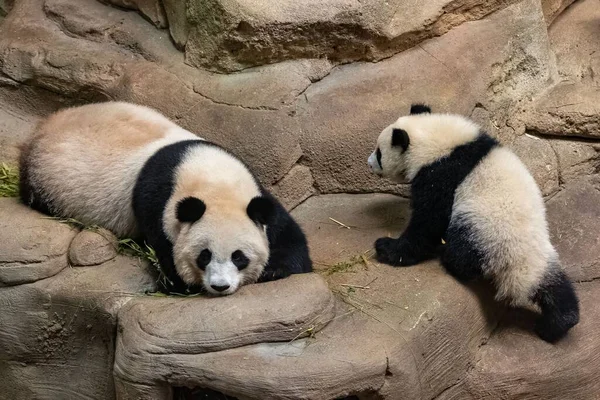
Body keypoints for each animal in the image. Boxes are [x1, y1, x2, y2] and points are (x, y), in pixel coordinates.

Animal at [19, 101, 312, 296]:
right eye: (204, 256)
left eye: (239, 257)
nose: (220, 286)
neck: (211, 178)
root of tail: (44, 126)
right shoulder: (156, 203)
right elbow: (168, 255)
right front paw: (181, 285)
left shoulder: (253, 192)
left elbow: (286, 233)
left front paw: (275, 269)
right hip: (47, 181)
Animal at [368, 104, 580, 344]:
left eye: (379, 152)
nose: (369, 163)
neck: (438, 141)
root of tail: (520, 272)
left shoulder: (442, 175)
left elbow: (428, 220)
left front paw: (388, 248)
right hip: (543, 254)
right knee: (557, 287)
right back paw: (556, 324)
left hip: (481, 229)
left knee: (464, 256)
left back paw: (447, 256)